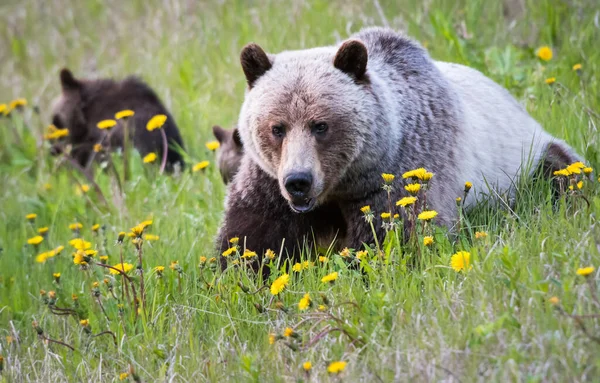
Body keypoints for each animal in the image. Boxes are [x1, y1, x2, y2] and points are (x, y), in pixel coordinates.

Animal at [216, 27, 580, 264]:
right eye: (277, 128)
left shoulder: (401, 172)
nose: (298, 181)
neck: (341, 187)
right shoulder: (267, 183)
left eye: (321, 125)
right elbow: (249, 239)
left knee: (562, 174)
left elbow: (397, 235)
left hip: (527, 158)